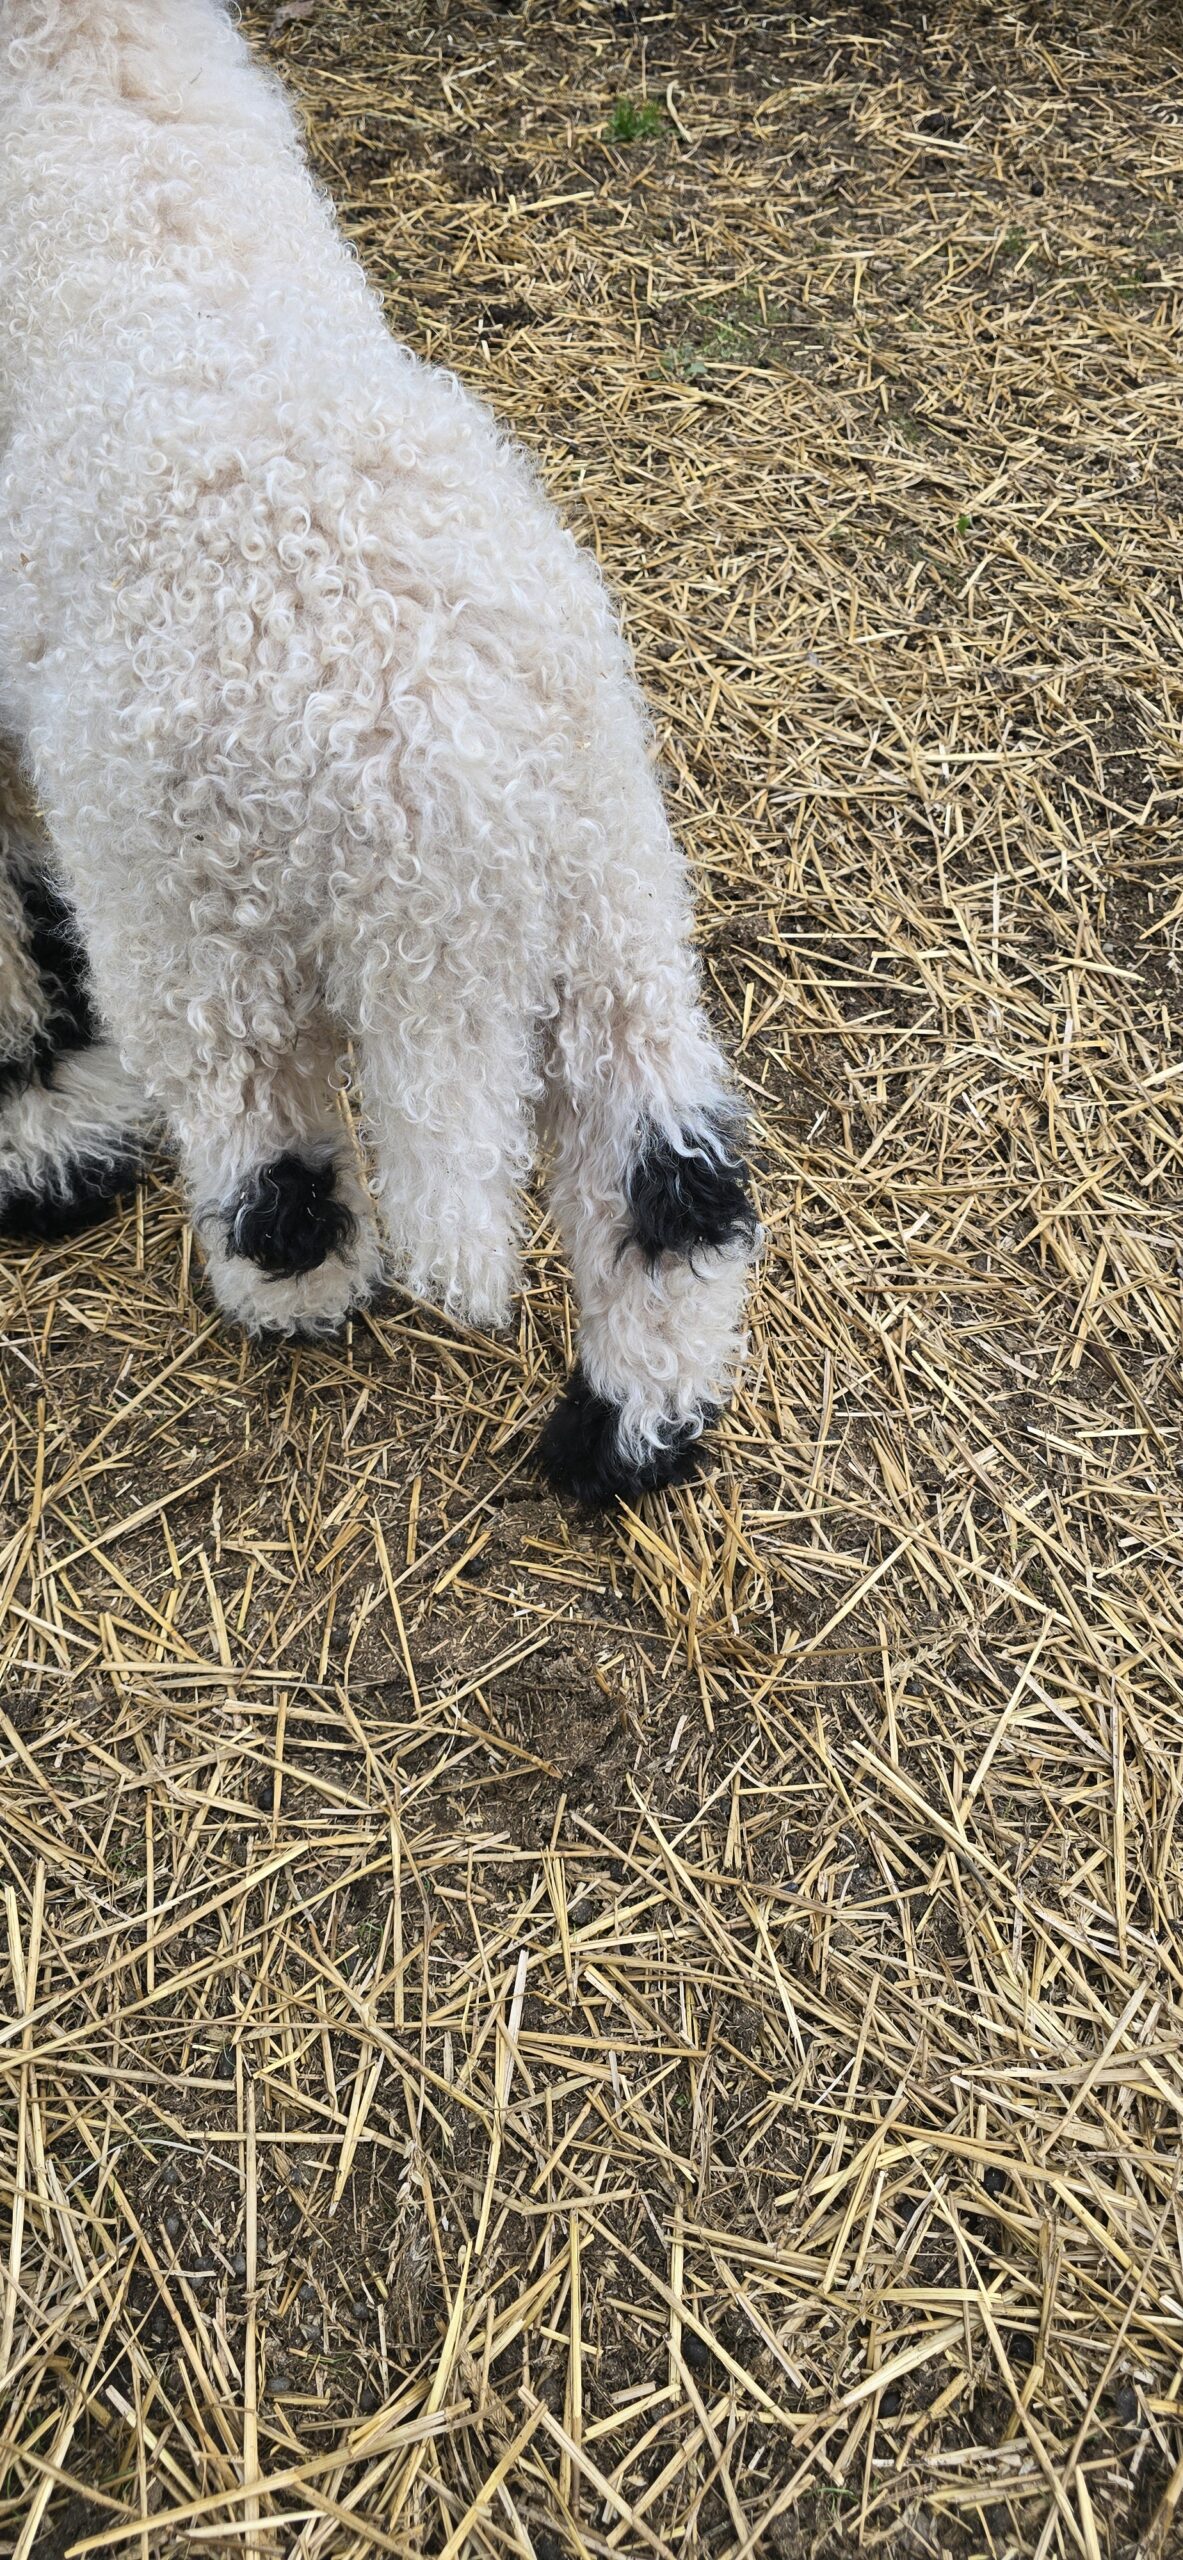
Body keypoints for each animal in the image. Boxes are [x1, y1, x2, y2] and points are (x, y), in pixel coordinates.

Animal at [0, 0, 756, 1503]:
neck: (83, 59)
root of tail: (425, 791)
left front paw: (45, 1141)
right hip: (609, 890)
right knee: (668, 1179)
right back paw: (625, 1436)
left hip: (200, 931)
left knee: (273, 1168)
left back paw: (292, 1300)